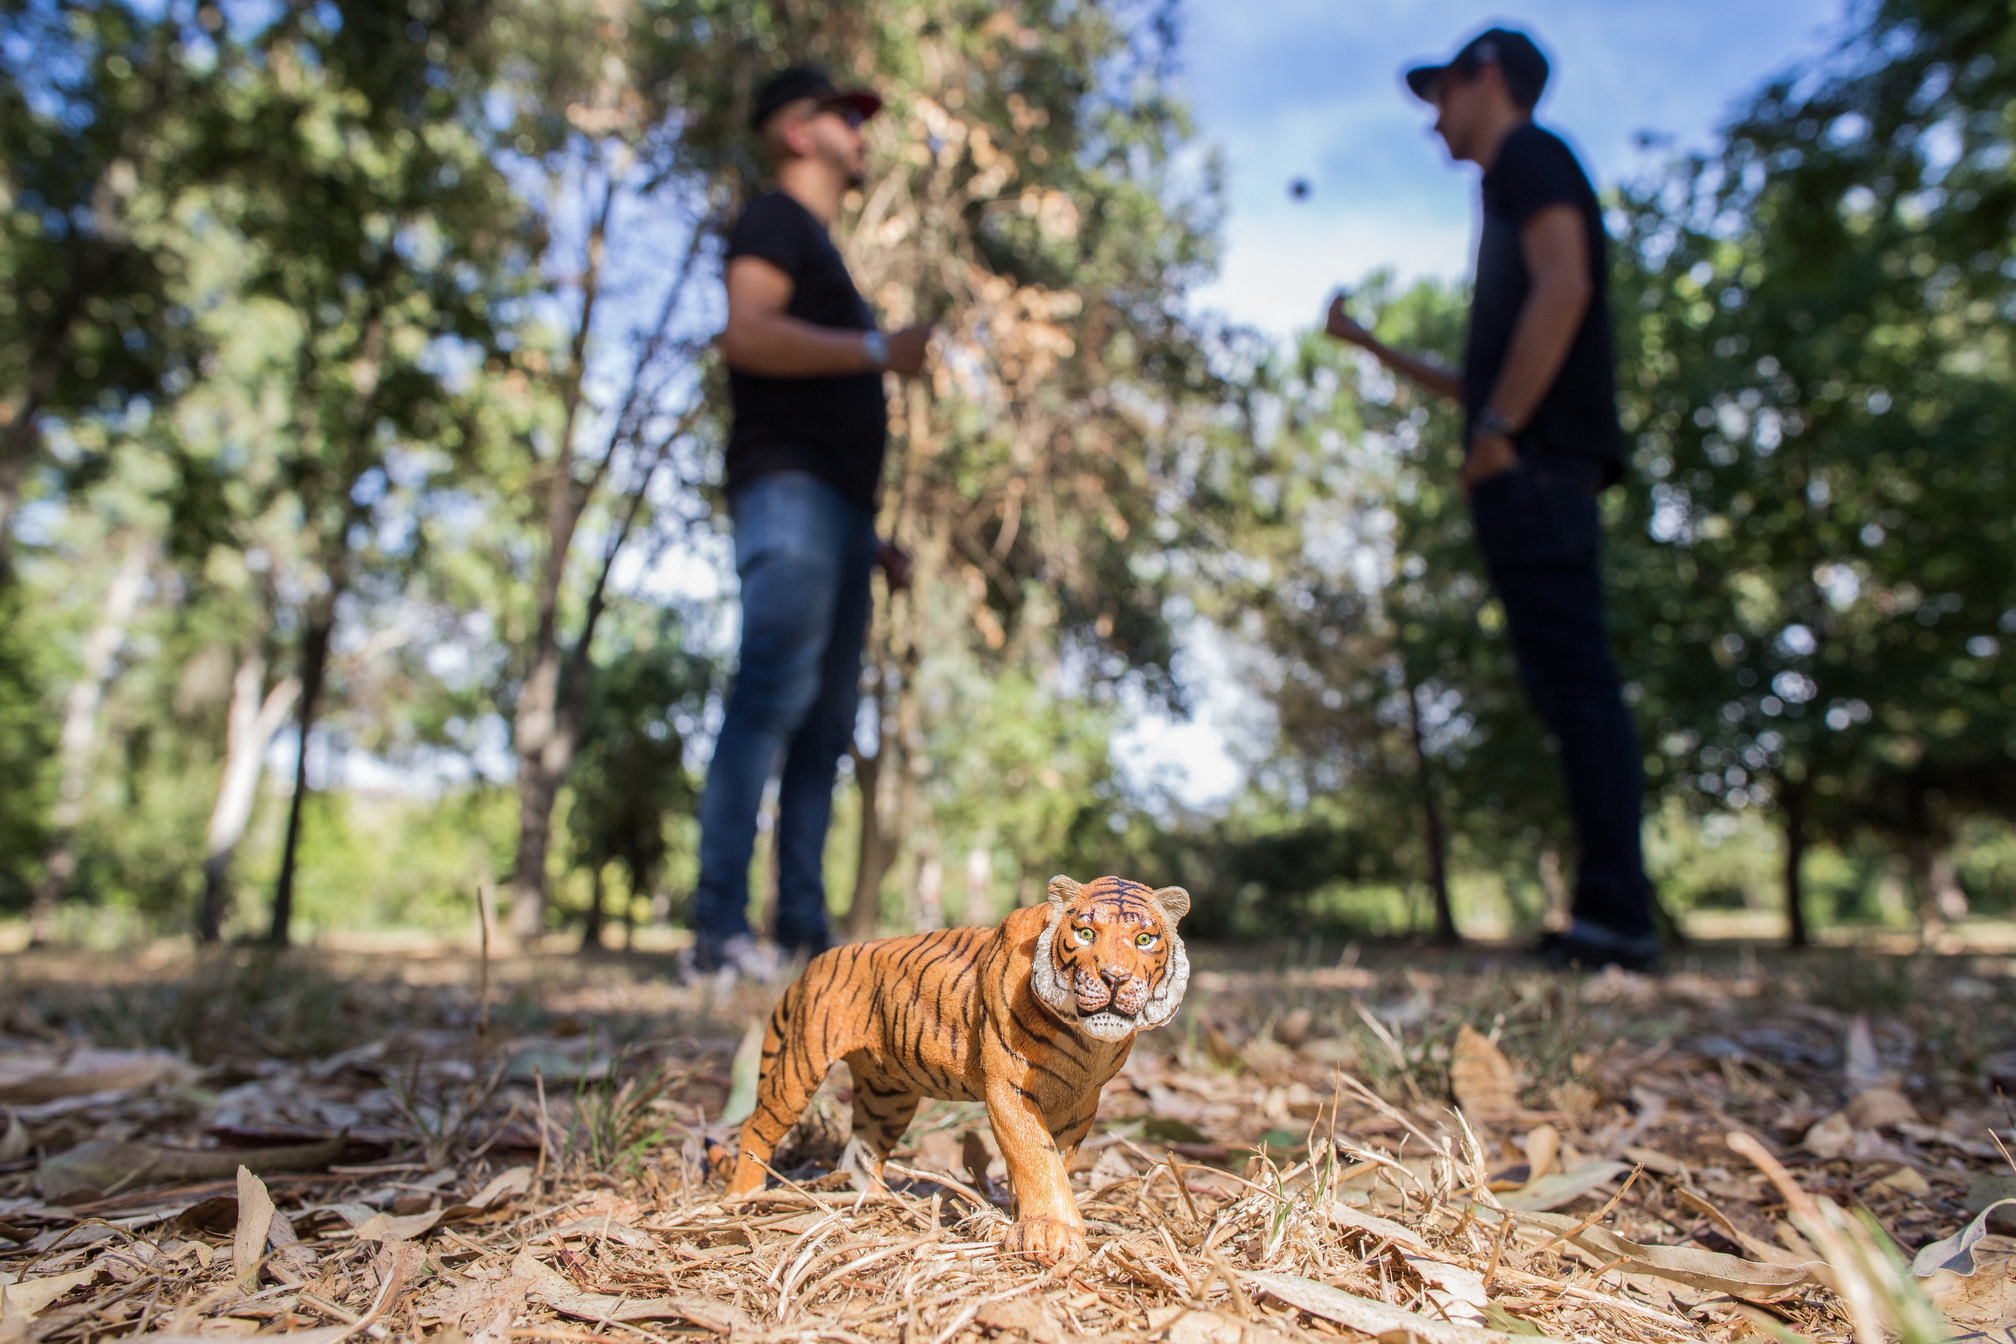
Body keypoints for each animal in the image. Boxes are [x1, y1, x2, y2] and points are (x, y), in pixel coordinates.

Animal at [723, 873, 1192, 1264]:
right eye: (1085, 932)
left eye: (1144, 938)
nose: (1115, 977)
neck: (1087, 1041)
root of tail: (813, 964)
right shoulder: (1008, 1087)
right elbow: (1036, 1154)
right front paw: (1050, 1234)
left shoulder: (1080, 1101)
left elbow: (1054, 1158)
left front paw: (1026, 1220)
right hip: (801, 1066)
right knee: (757, 1127)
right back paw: (739, 1201)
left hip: (887, 1097)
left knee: (860, 1151)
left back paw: (877, 1203)